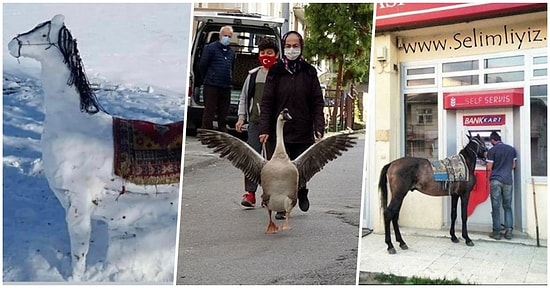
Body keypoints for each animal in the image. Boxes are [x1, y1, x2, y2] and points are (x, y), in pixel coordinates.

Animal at [7, 14, 183, 282]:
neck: (72, 122)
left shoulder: (79, 200)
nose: (11, 44)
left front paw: (74, 279)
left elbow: (79, 250)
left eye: (43, 33)